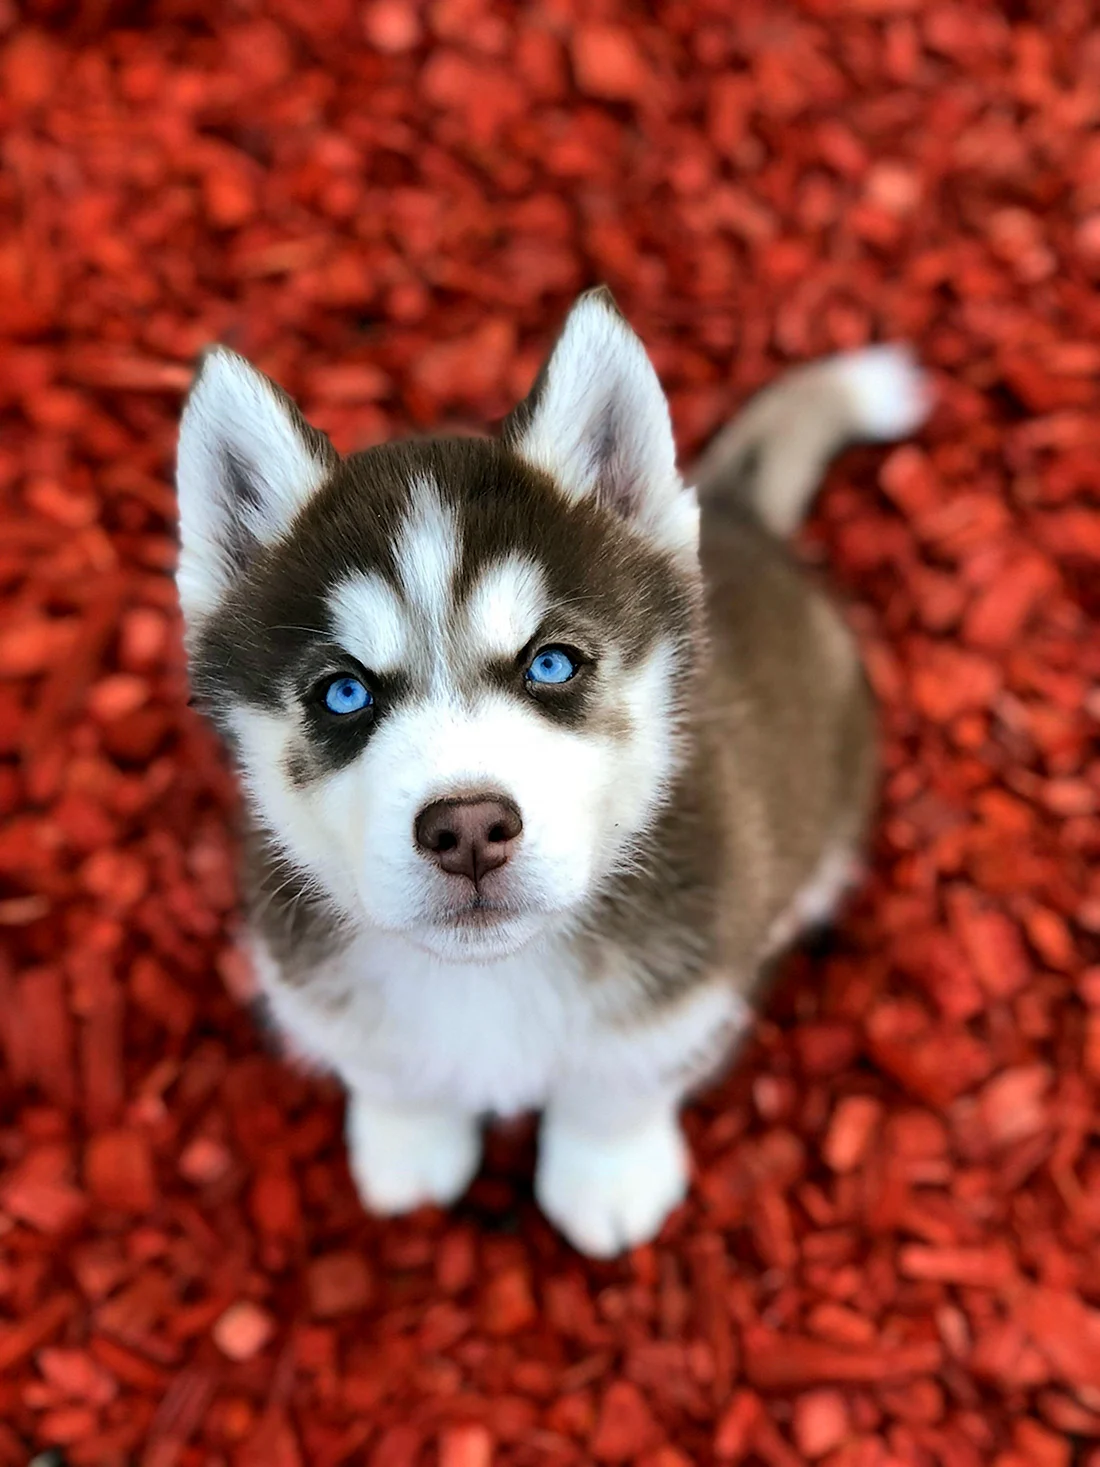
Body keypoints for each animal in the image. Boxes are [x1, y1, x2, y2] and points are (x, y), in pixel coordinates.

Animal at [174, 291, 932, 1255]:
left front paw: (607, 1175)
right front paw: (410, 1144)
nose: (467, 827)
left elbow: (620, 1082)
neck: (491, 977)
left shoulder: (687, 987)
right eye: (343, 692)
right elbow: (389, 1072)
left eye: (552, 664)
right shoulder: (310, 982)